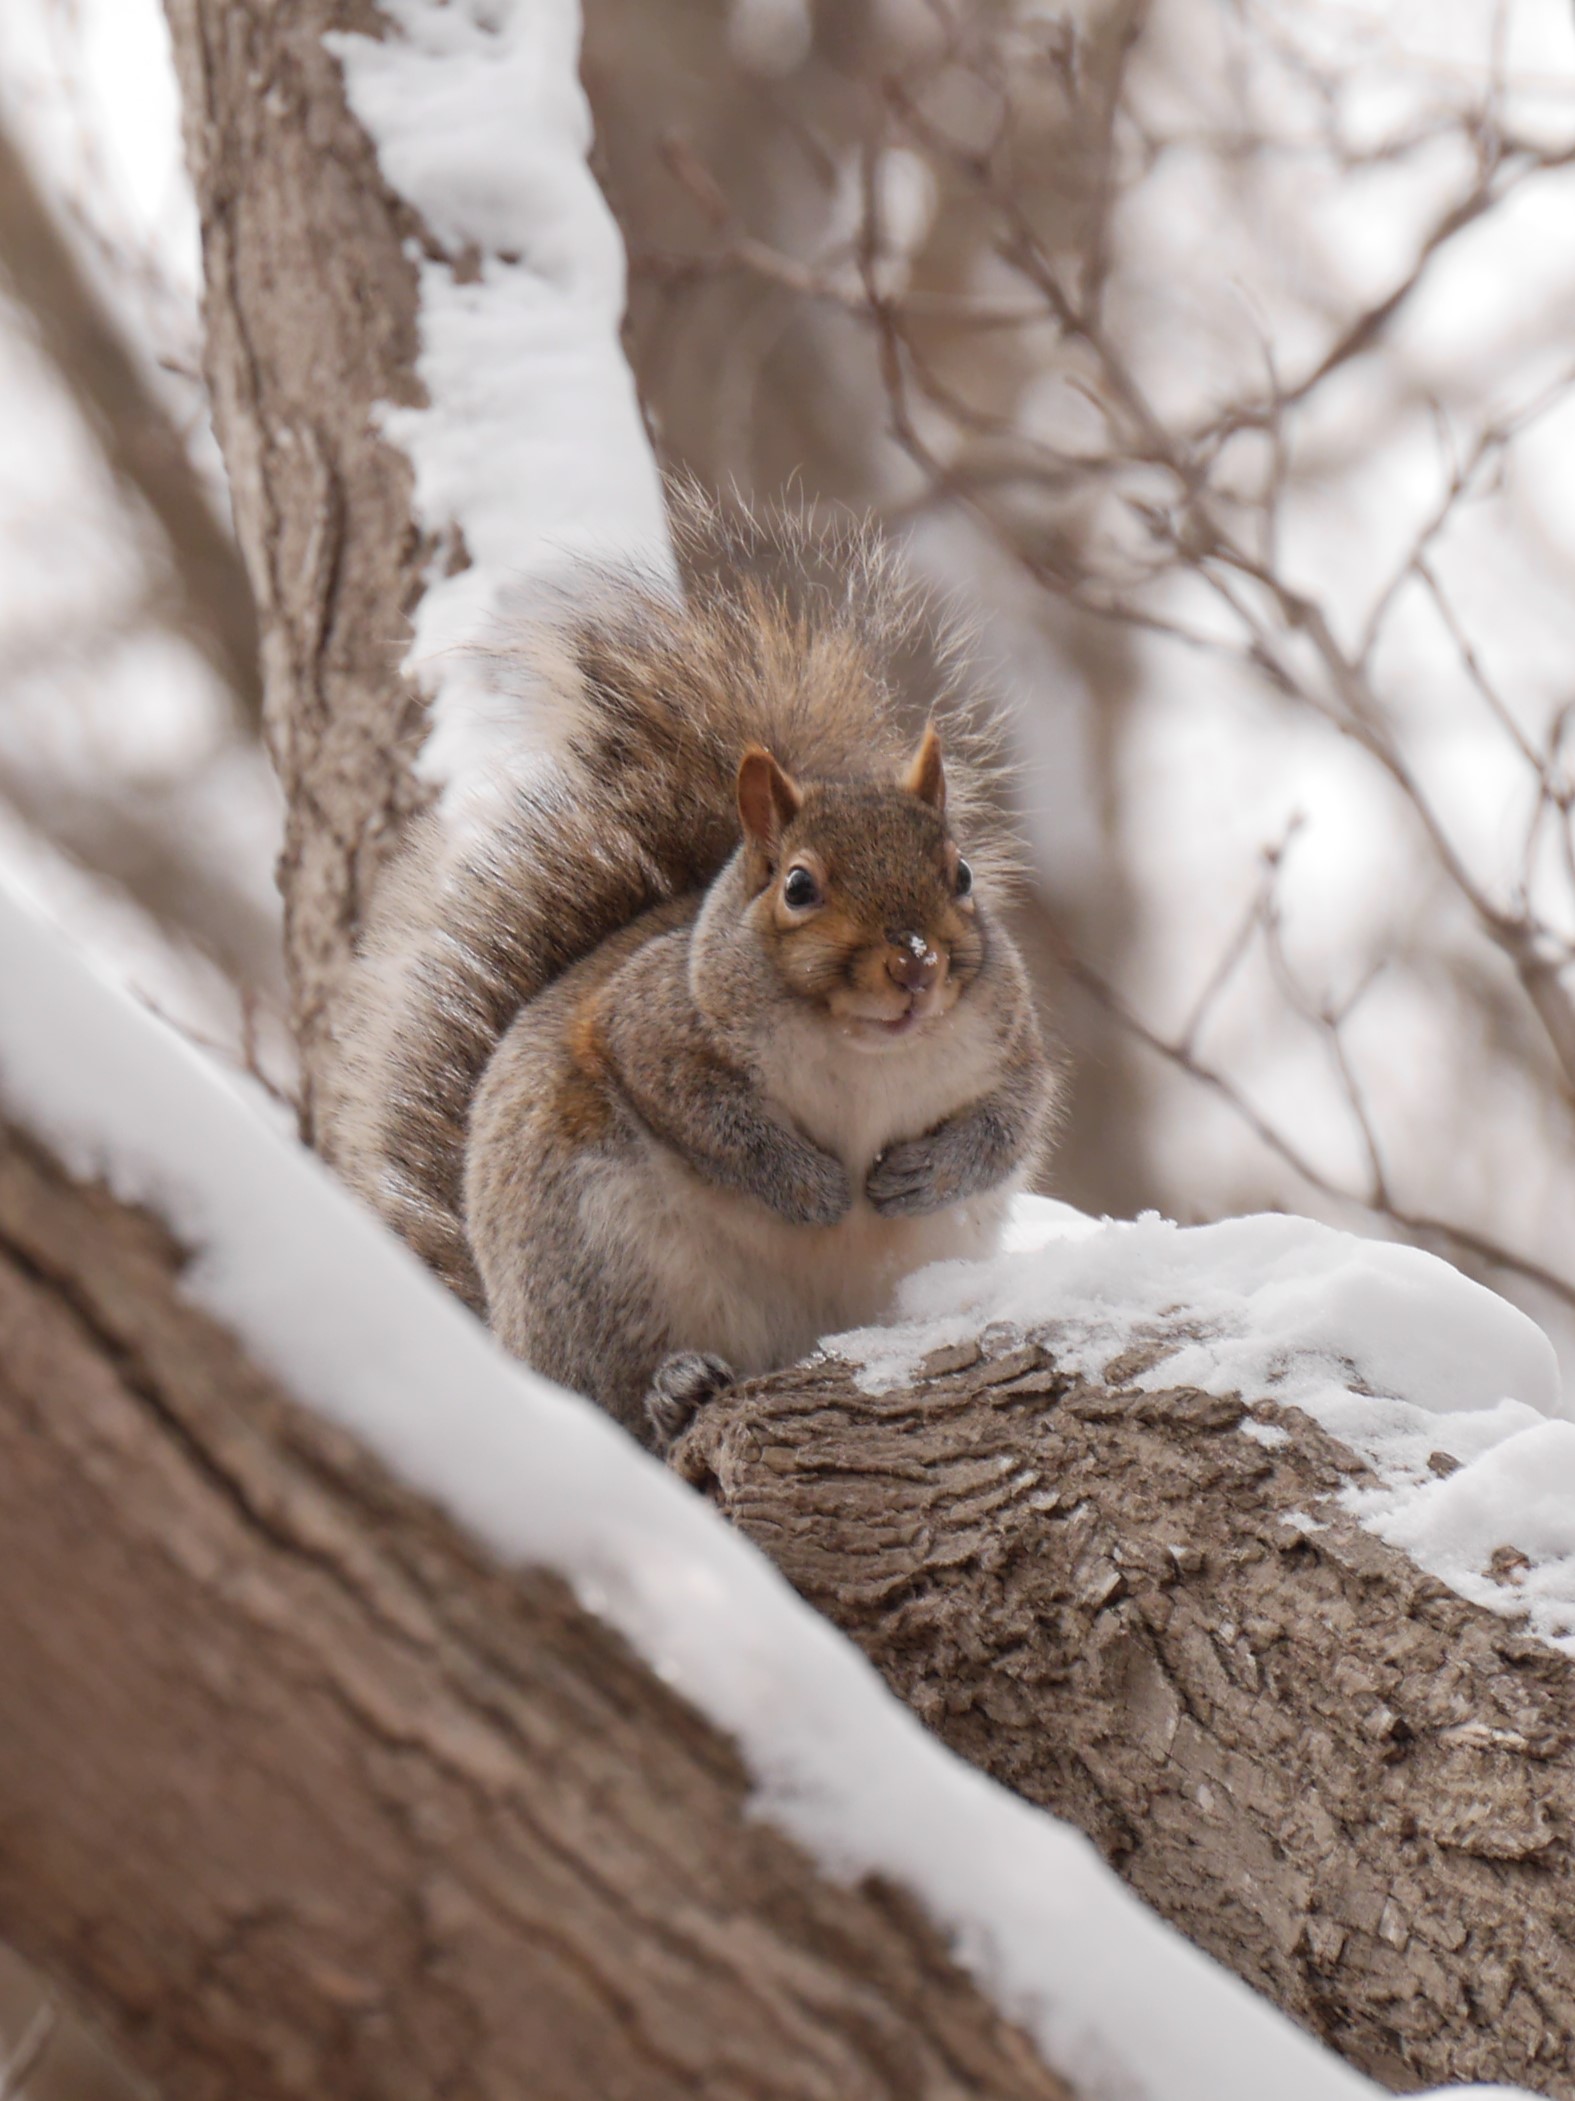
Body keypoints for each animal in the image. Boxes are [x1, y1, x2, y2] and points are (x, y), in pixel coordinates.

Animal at [340, 496, 1059, 1447]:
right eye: (799, 886)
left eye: (963, 874)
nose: (915, 963)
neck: (862, 1049)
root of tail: (504, 1334)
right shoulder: (650, 1024)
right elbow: (706, 1115)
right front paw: (811, 1188)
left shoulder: (1008, 1043)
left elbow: (1008, 1122)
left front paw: (922, 1173)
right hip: (595, 1267)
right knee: (612, 1390)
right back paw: (670, 1387)